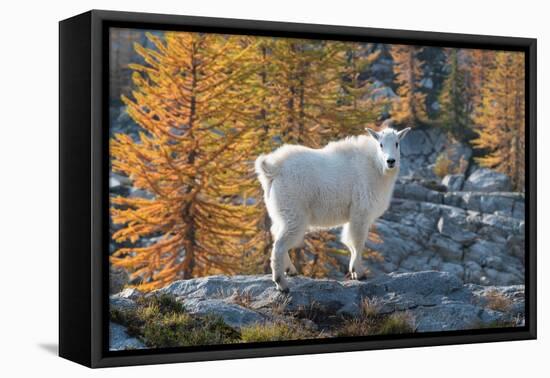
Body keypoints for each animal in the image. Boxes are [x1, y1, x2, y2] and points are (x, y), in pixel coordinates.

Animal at [256, 121, 412, 292]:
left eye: (397, 143)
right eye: (381, 144)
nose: (391, 161)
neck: (375, 166)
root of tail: (273, 170)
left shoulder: (352, 215)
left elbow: (349, 242)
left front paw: (353, 271)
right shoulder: (361, 211)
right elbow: (357, 242)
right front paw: (359, 273)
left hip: (281, 212)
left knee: (275, 235)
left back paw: (290, 270)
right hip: (294, 213)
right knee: (279, 245)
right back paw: (282, 284)